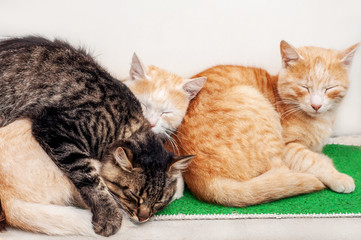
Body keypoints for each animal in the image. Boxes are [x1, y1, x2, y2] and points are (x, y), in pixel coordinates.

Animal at [0, 37, 193, 236]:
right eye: (134, 195)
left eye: (159, 201)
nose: (143, 218)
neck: (128, 124)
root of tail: (6, 202)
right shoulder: (54, 128)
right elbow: (92, 181)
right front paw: (109, 216)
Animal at [174, 41, 358, 206]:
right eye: (304, 87)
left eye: (329, 88)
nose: (316, 105)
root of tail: (206, 182)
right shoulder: (288, 147)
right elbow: (311, 160)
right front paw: (338, 176)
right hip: (254, 102)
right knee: (281, 173)